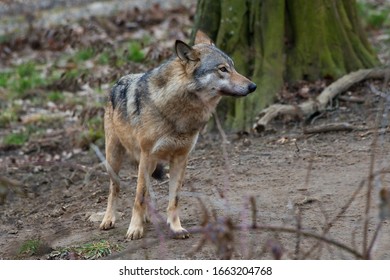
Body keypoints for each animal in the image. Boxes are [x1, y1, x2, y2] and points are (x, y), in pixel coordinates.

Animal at [100, 31, 256, 241]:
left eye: (233, 67)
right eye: (222, 69)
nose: (253, 86)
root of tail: (116, 82)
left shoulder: (181, 158)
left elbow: (174, 199)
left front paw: (176, 228)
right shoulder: (147, 155)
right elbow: (138, 197)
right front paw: (135, 229)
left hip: (148, 163)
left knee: (147, 190)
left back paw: (149, 217)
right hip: (116, 159)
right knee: (114, 189)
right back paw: (109, 219)